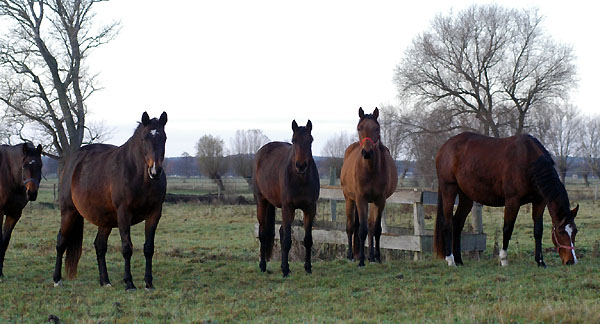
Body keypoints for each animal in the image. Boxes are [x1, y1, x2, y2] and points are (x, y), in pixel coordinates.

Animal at [53, 112, 168, 290]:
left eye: (164, 138)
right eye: (144, 138)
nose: (155, 171)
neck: (138, 176)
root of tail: (73, 161)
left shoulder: (154, 214)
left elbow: (149, 248)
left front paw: (149, 283)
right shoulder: (124, 214)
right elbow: (127, 248)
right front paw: (129, 283)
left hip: (104, 220)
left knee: (99, 246)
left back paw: (105, 281)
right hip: (68, 212)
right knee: (61, 241)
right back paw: (57, 279)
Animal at [252, 120, 318, 278]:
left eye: (310, 140)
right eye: (294, 140)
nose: (301, 166)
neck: (300, 180)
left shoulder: (310, 209)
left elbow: (307, 240)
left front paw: (308, 267)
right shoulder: (288, 207)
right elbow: (287, 240)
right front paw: (286, 270)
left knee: (281, 232)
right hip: (262, 203)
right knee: (263, 234)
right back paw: (263, 266)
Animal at [342, 107, 398, 268]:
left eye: (376, 128)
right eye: (359, 128)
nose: (367, 152)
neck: (370, 169)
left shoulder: (380, 200)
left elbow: (376, 229)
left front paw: (377, 257)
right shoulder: (361, 200)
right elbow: (362, 230)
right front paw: (361, 260)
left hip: (372, 202)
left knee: (372, 227)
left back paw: (372, 257)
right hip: (349, 199)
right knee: (350, 226)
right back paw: (351, 255)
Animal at [436, 130, 576, 268]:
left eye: (575, 231)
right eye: (561, 232)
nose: (571, 261)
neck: (528, 162)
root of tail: (444, 148)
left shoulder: (539, 202)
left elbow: (538, 230)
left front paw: (540, 261)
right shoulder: (512, 201)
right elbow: (507, 228)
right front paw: (503, 260)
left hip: (466, 197)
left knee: (457, 223)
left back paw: (459, 260)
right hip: (449, 189)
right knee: (447, 224)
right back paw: (451, 260)